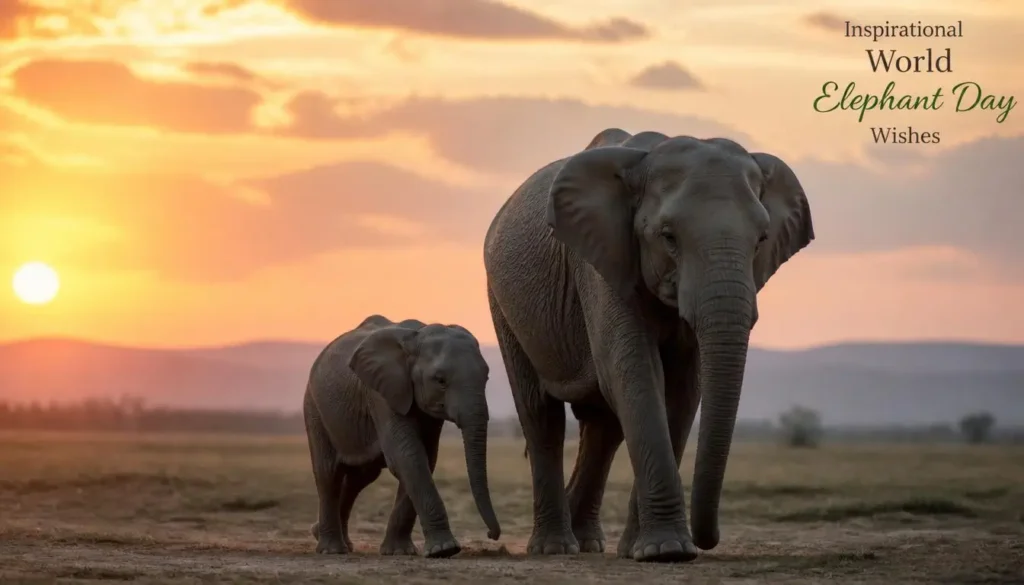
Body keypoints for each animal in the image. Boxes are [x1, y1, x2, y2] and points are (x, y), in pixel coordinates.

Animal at [303, 315, 501, 558]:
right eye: (440, 380)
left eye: (486, 376)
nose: (492, 535)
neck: (417, 338)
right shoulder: (382, 394)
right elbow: (407, 456)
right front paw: (444, 550)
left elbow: (424, 458)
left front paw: (400, 552)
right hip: (314, 408)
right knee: (329, 473)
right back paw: (331, 549)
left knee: (360, 476)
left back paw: (326, 537)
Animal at [482, 128, 814, 562]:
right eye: (668, 237)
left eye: (761, 239)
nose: (709, 538)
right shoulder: (603, 264)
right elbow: (636, 372)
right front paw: (666, 551)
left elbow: (683, 390)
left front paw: (651, 549)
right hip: (503, 302)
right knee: (541, 417)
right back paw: (555, 548)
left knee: (602, 428)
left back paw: (588, 543)